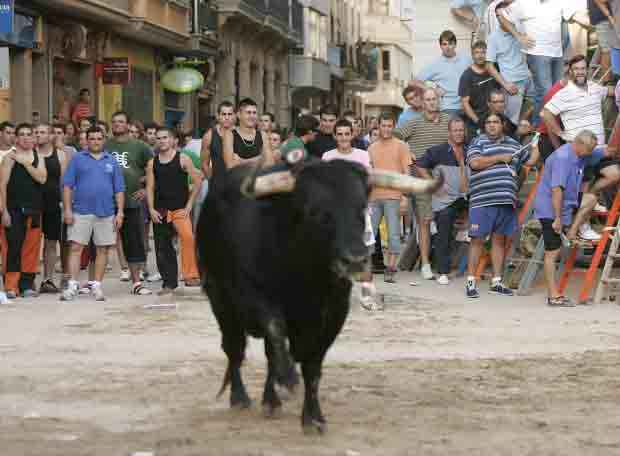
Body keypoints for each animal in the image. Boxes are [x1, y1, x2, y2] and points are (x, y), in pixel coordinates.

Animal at [196, 160, 428, 434]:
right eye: (316, 212)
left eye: (361, 208)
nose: (356, 260)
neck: (307, 278)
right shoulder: (254, 298)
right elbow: (275, 332)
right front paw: (288, 378)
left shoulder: (334, 314)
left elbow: (312, 367)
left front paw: (313, 416)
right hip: (220, 300)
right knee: (235, 348)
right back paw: (241, 396)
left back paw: (271, 400)